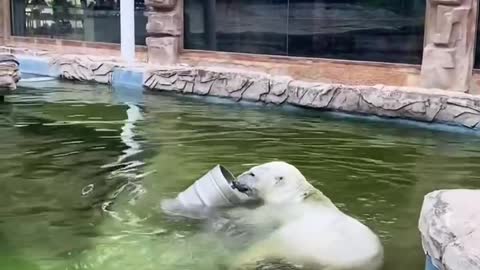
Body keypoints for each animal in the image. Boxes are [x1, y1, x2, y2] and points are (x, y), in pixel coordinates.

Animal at [227, 161, 384, 268]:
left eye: (252, 173)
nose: (235, 181)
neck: (295, 193)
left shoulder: (279, 209)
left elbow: (255, 218)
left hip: (300, 242)